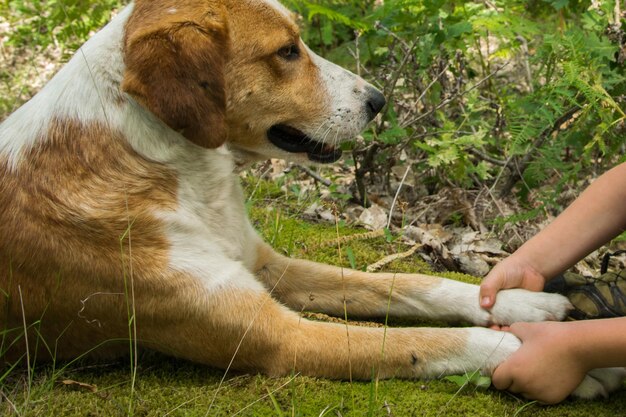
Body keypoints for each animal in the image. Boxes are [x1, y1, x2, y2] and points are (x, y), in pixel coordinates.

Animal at [0, 0, 620, 396]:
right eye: (286, 52)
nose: (378, 100)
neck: (166, 163)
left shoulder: (267, 266)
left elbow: (408, 285)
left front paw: (519, 303)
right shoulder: (278, 336)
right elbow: (416, 341)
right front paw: (546, 355)